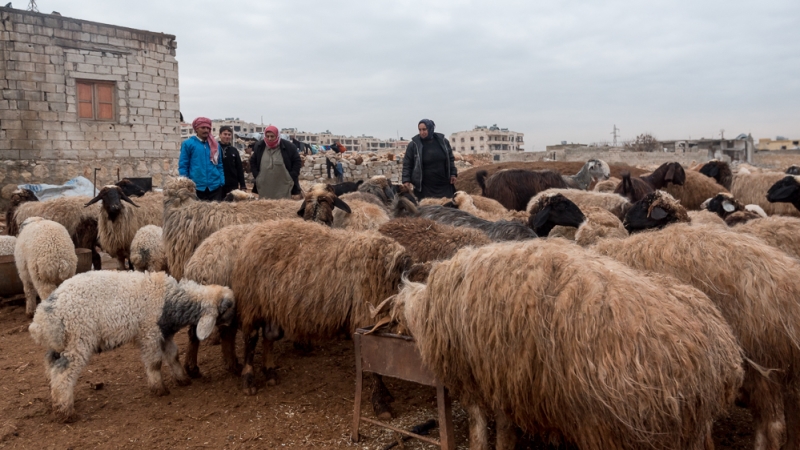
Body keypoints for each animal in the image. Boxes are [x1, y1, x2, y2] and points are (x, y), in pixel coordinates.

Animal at [28, 270, 234, 422]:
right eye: (227, 309)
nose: (234, 324)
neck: (167, 300)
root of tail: (42, 318)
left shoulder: (164, 334)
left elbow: (173, 356)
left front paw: (183, 379)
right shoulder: (149, 333)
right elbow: (155, 363)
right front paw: (159, 389)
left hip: (60, 345)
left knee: (52, 370)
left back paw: (58, 403)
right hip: (77, 340)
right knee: (64, 373)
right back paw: (66, 412)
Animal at [388, 241, 744, 448]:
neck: (426, 306)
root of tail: (721, 359)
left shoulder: (483, 376)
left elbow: (486, 431)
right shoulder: (507, 380)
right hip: (691, 430)